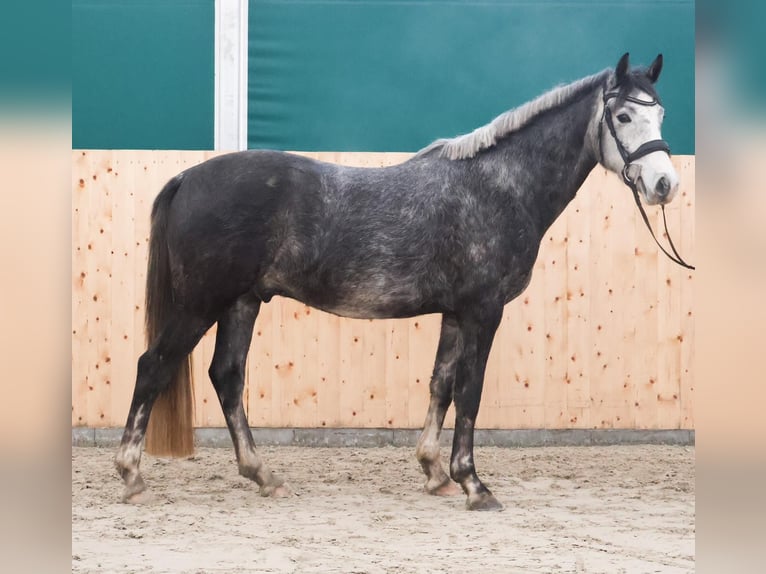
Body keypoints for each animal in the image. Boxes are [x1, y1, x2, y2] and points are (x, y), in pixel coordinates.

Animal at [117, 55, 680, 512]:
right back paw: (132, 477)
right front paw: (474, 484)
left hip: (241, 302)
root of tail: (188, 178)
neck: (497, 187)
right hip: (200, 304)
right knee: (153, 367)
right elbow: (470, 391)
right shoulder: (483, 310)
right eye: (623, 115)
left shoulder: (455, 313)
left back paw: (264, 475)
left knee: (227, 377)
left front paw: (435, 473)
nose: (664, 184)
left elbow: (441, 384)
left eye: (660, 114)